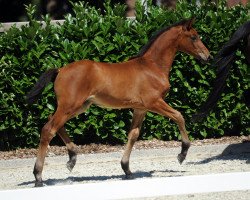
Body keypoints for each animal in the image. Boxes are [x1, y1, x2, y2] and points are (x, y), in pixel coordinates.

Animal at [26, 18, 211, 187]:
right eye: (194, 37)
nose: (207, 56)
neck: (152, 67)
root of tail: (60, 70)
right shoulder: (154, 102)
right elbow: (179, 116)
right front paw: (182, 153)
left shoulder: (140, 108)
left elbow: (133, 135)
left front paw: (127, 169)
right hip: (70, 106)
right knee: (48, 129)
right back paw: (38, 176)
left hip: (78, 106)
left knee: (52, 122)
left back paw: (72, 158)